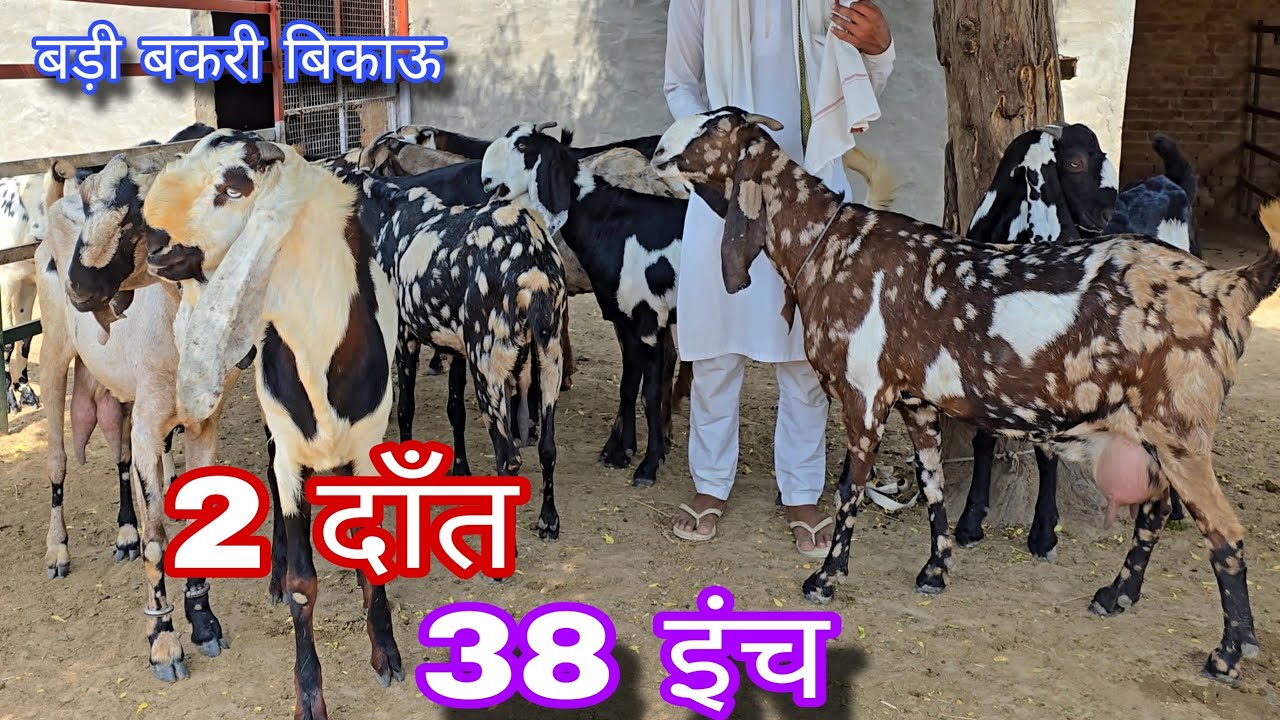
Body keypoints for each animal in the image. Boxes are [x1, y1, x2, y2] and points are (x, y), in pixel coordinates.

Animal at [143, 130, 404, 716]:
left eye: (234, 186)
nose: (153, 244)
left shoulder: (368, 450)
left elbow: (373, 558)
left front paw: (387, 654)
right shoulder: (289, 455)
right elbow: (304, 584)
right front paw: (309, 694)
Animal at [329, 145, 567, 541]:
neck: (385, 216)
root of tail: (532, 266)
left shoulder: (404, 338)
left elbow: (405, 407)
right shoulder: (456, 351)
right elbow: (455, 410)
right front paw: (460, 469)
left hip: (489, 365)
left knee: (508, 459)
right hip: (548, 359)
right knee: (547, 447)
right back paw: (549, 520)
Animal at [653, 106, 1280, 684]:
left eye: (713, 128)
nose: (657, 150)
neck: (832, 246)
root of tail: (1228, 285)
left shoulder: (864, 393)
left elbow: (849, 490)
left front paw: (826, 579)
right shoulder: (915, 400)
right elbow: (931, 484)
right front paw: (936, 570)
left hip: (1179, 429)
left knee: (1224, 531)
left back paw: (1228, 654)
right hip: (1150, 430)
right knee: (1153, 509)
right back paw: (1116, 597)